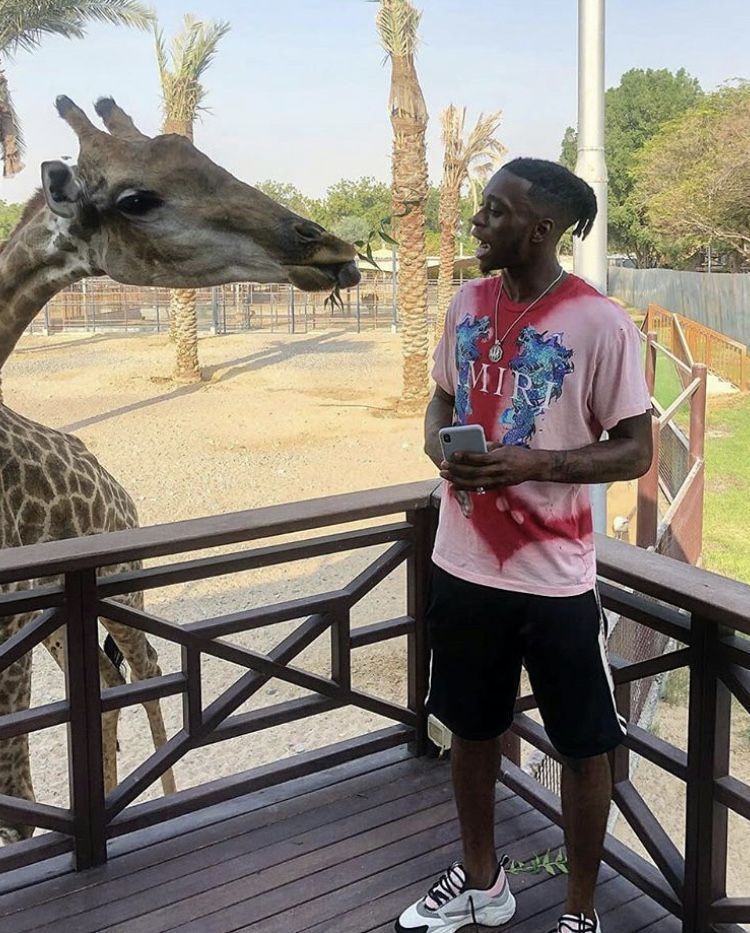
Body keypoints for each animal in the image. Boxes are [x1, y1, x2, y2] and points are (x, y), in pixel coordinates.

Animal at [0, 95, 360, 843]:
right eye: (137, 199)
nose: (333, 252)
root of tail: (114, 487)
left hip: (121, 585)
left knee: (136, 677)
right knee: (111, 686)